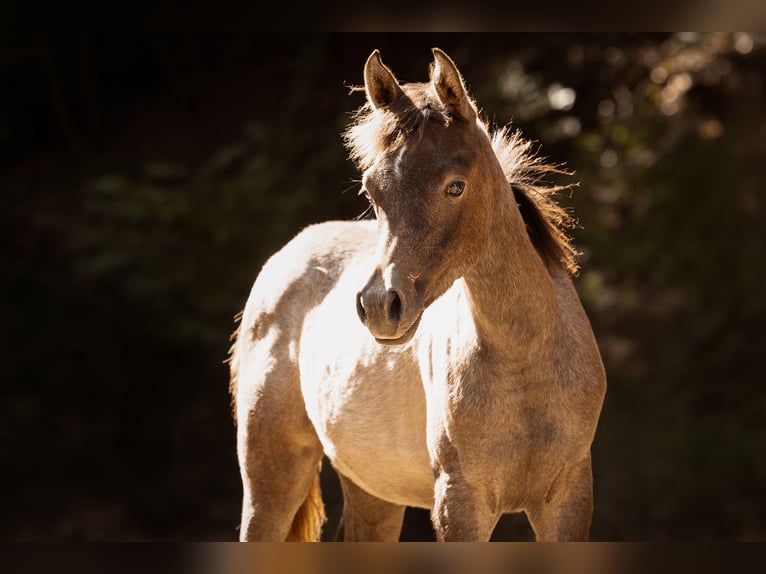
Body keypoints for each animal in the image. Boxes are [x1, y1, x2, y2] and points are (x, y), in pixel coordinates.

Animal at [228, 48, 606, 542]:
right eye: (372, 189)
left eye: (456, 186)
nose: (378, 306)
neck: (527, 359)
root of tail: (281, 260)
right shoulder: (459, 504)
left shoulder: (568, 500)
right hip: (271, 475)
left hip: (373, 494)